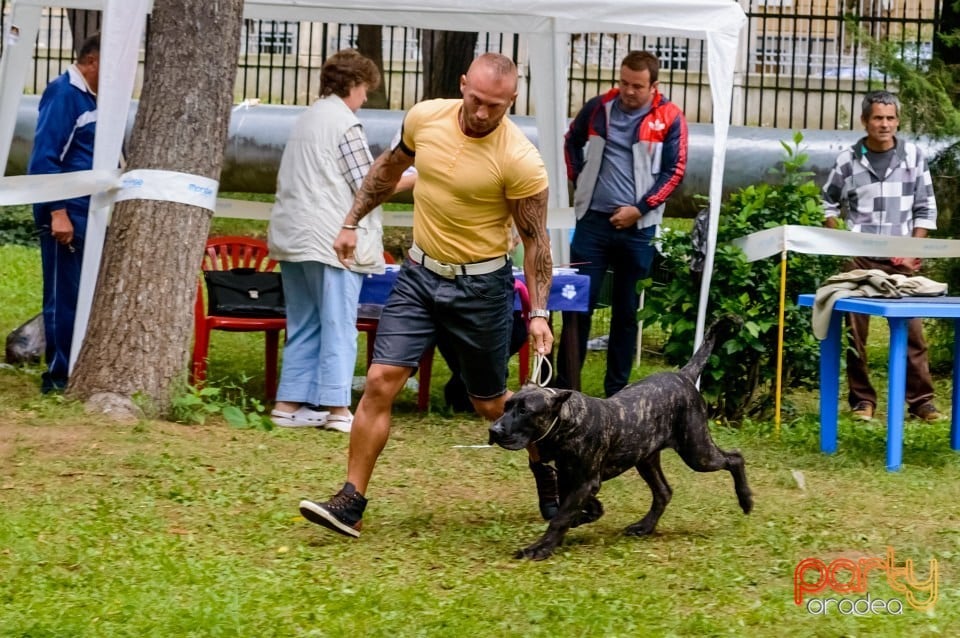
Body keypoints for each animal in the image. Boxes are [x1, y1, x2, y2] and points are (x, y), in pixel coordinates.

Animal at [492, 318, 752, 564]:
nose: (494, 430)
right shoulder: (569, 478)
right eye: (507, 406)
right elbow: (571, 509)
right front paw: (587, 515)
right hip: (647, 459)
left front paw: (540, 548)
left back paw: (746, 499)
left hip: (697, 452)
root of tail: (684, 375)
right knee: (663, 492)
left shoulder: (585, 481)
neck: (565, 423)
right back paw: (644, 526)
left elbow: (561, 517)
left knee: (735, 458)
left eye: (524, 411)